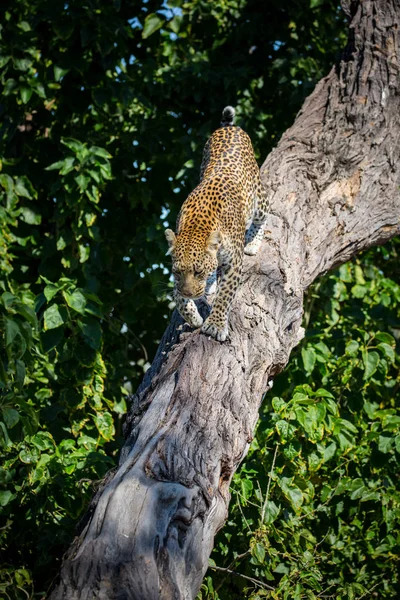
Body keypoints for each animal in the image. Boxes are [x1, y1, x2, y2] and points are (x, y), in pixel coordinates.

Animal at [166, 106, 268, 342]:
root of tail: (229, 128)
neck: (196, 226)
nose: (189, 292)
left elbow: (226, 295)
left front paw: (215, 324)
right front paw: (192, 316)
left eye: (198, 272)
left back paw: (253, 243)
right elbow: (178, 297)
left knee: (266, 214)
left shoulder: (234, 262)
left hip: (258, 198)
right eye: (177, 272)